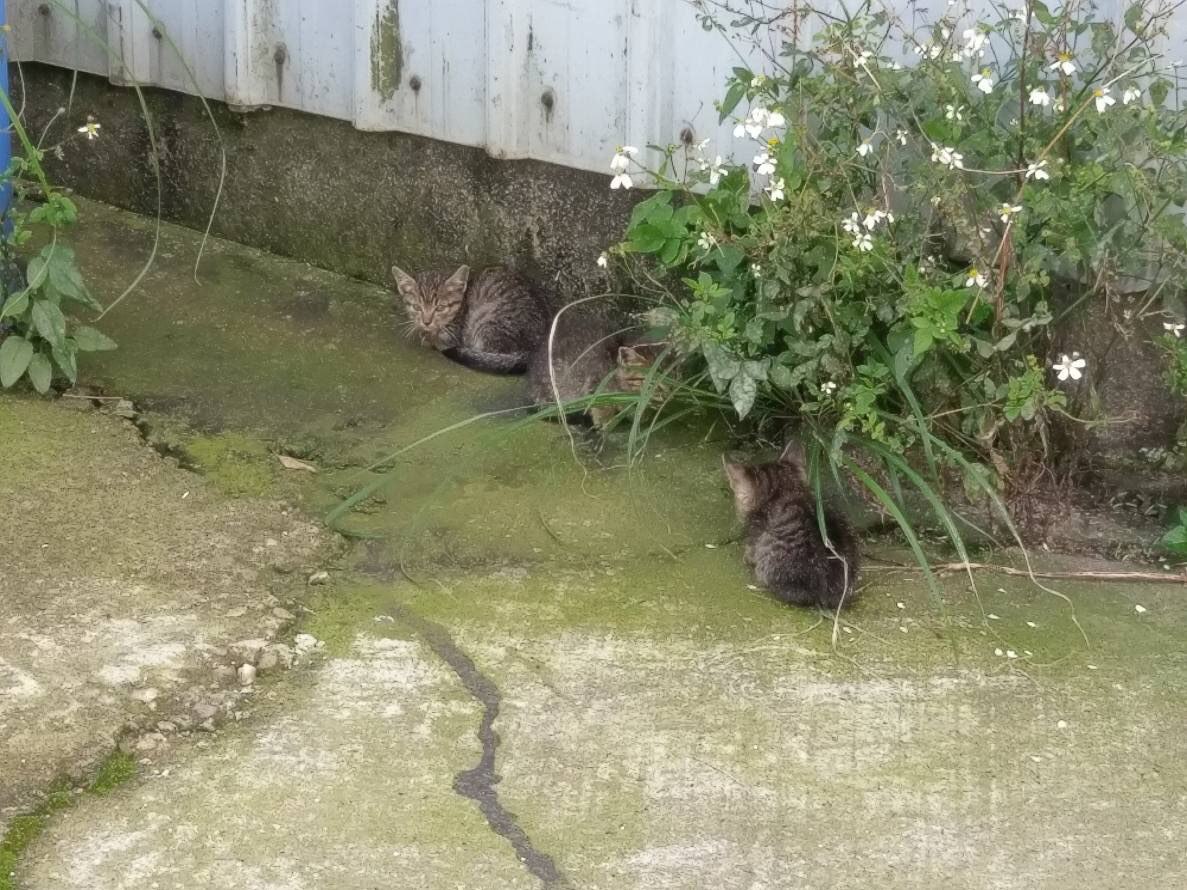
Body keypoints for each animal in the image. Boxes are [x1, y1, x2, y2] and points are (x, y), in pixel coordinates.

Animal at [391, 264, 548, 374]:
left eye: (440, 308)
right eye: (417, 307)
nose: (426, 321)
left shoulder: (453, 336)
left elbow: (439, 340)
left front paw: (428, 338)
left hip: (487, 319)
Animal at [527, 305, 666, 428]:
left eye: (667, 375)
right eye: (649, 381)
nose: (666, 394)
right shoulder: (595, 384)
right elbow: (602, 405)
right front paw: (605, 422)